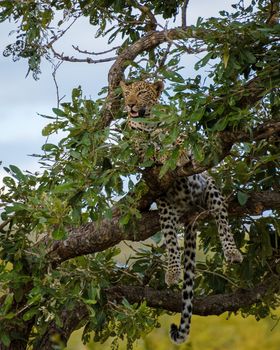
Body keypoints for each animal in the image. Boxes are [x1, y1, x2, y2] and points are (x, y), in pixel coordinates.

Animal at [119, 80, 242, 344]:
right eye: (127, 93)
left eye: (141, 93)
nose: (130, 104)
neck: (149, 121)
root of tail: (189, 210)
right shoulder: (136, 144)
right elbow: (148, 148)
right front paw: (161, 152)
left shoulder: (177, 133)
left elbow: (179, 140)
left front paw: (181, 152)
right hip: (165, 209)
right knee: (171, 242)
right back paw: (173, 273)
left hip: (211, 189)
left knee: (222, 221)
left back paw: (232, 252)